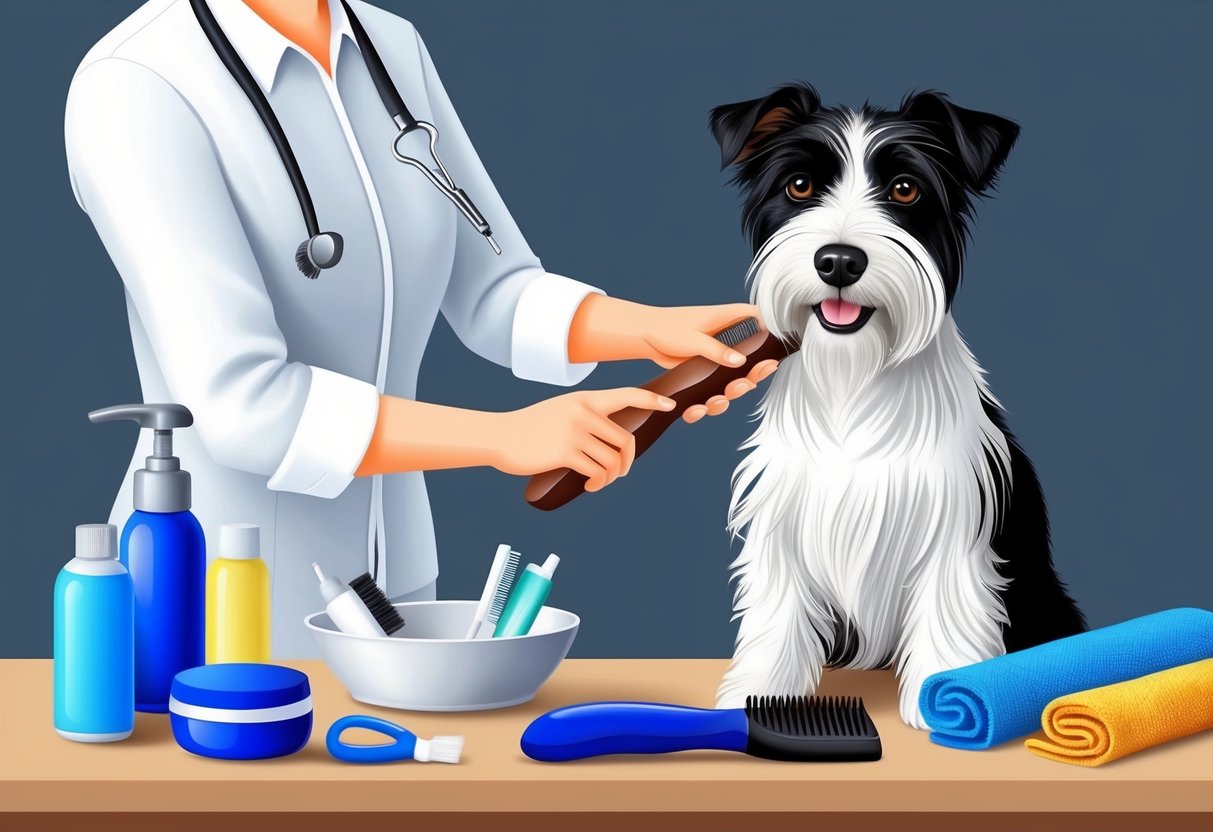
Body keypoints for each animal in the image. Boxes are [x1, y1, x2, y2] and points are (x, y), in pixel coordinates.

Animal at [708, 86, 1086, 727]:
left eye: (906, 189)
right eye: (800, 185)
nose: (839, 261)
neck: (853, 381)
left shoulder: (954, 524)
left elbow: (949, 601)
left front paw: (943, 699)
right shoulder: (784, 524)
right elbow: (778, 609)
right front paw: (759, 694)